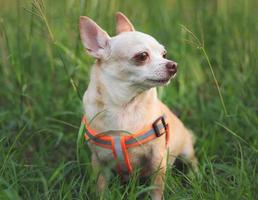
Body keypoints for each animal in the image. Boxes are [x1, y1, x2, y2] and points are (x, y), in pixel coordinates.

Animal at [78, 12, 198, 200]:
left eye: (164, 54)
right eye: (142, 56)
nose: (173, 65)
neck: (124, 107)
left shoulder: (157, 159)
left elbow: (156, 189)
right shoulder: (98, 161)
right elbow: (100, 186)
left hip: (185, 149)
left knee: (193, 161)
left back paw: (195, 176)